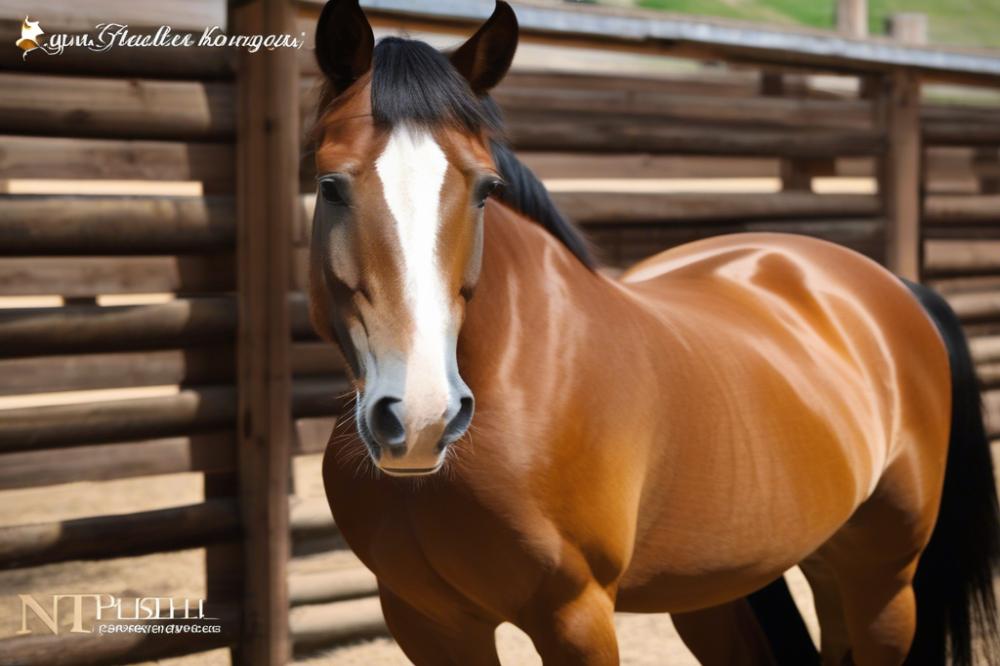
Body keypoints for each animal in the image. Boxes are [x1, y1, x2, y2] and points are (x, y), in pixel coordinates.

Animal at [306, 2, 1000, 660]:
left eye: (485, 188)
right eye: (330, 185)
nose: (423, 414)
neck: (522, 377)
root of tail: (895, 287)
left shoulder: (575, 616)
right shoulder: (428, 624)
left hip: (883, 581)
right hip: (756, 581)